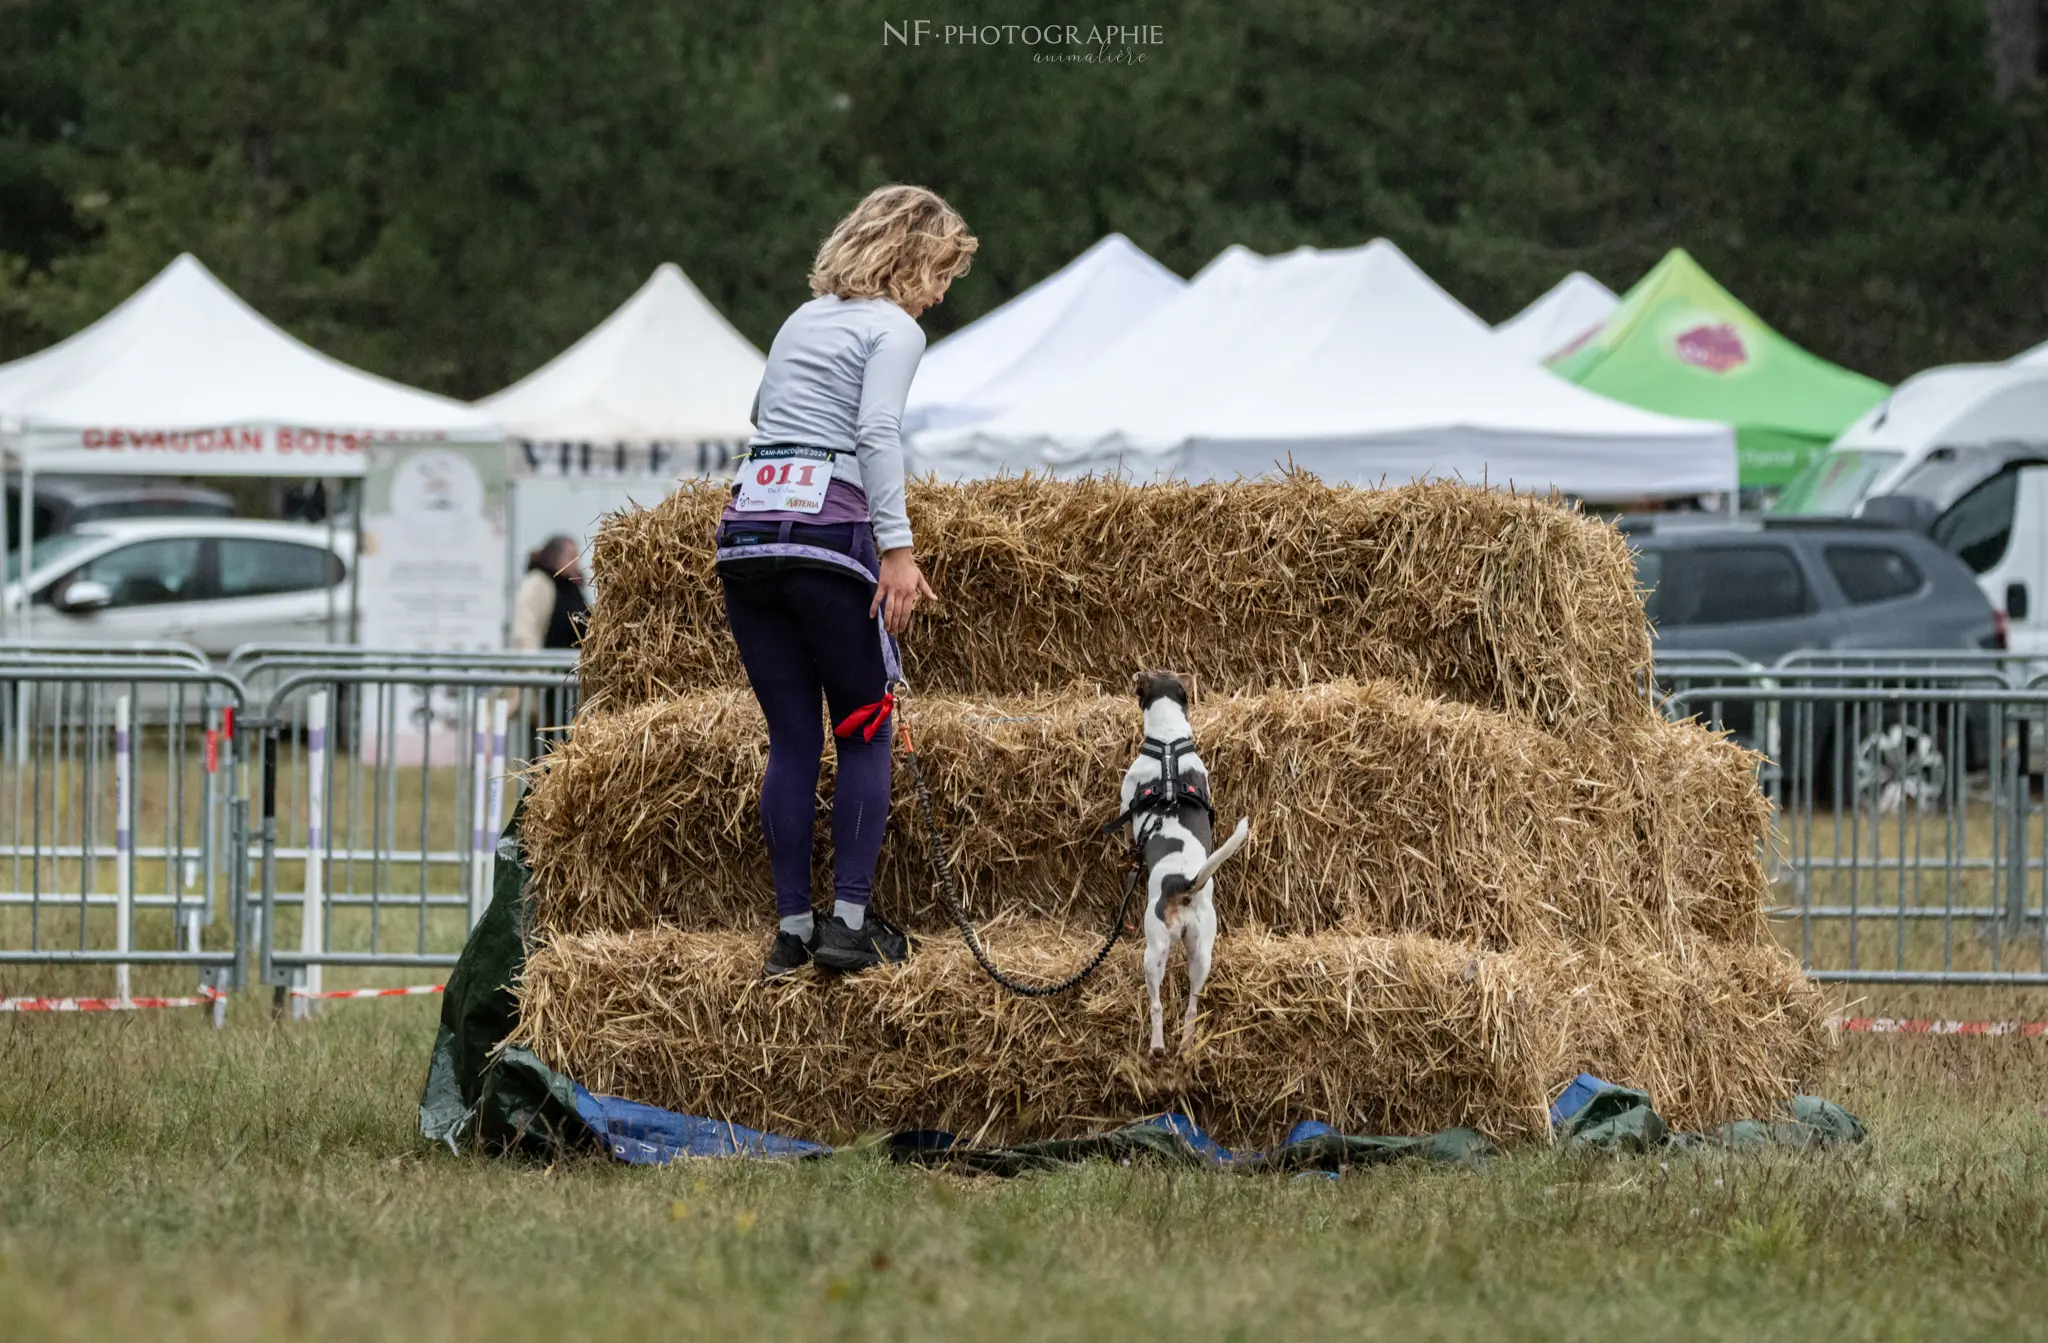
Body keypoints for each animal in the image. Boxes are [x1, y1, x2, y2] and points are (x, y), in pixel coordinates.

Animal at [1122, 671, 1245, 1056]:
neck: (1167, 742)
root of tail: (1185, 884)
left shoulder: (1125, 795)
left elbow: (1126, 825)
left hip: (1154, 948)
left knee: (1157, 1004)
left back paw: (1158, 1046)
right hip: (1202, 950)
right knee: (1192, 1004)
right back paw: (1188, 1044)